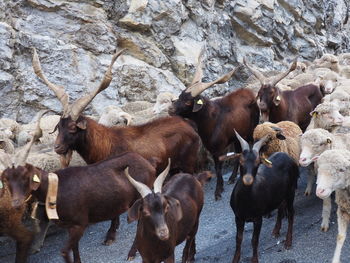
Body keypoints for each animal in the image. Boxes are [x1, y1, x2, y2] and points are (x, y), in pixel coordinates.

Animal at [33, 49, 202, 175]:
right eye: (59, 126)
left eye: (73, 127)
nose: (57, 147)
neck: (105, 144)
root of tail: (190, 126)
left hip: (188, 165)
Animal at [170, 51, 260, 200]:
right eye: (180, 96)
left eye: (188, 102)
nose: (170, 110)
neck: (211, 120)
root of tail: (250, 93)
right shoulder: (212, 148)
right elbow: (218, 167)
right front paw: (222, 186)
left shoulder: (219, 148)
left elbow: (219, 168)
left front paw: (218, 191)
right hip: (237, 136)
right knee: (238, 152)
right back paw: (232, 178)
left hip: (251, 129)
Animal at [221, 131, 298, 262]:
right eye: (241, 161)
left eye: (258, 163)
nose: (247, 179)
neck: (245, 202)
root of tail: (286, 156)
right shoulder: (238, 217)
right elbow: (238, 239)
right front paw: (235, 259)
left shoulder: (258, 218)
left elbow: (254, 240)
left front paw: (254, 259)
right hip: (280, 193)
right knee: (281, 207)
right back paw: (276, 230)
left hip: (290, 191)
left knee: (291, 213)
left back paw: (288, 242)